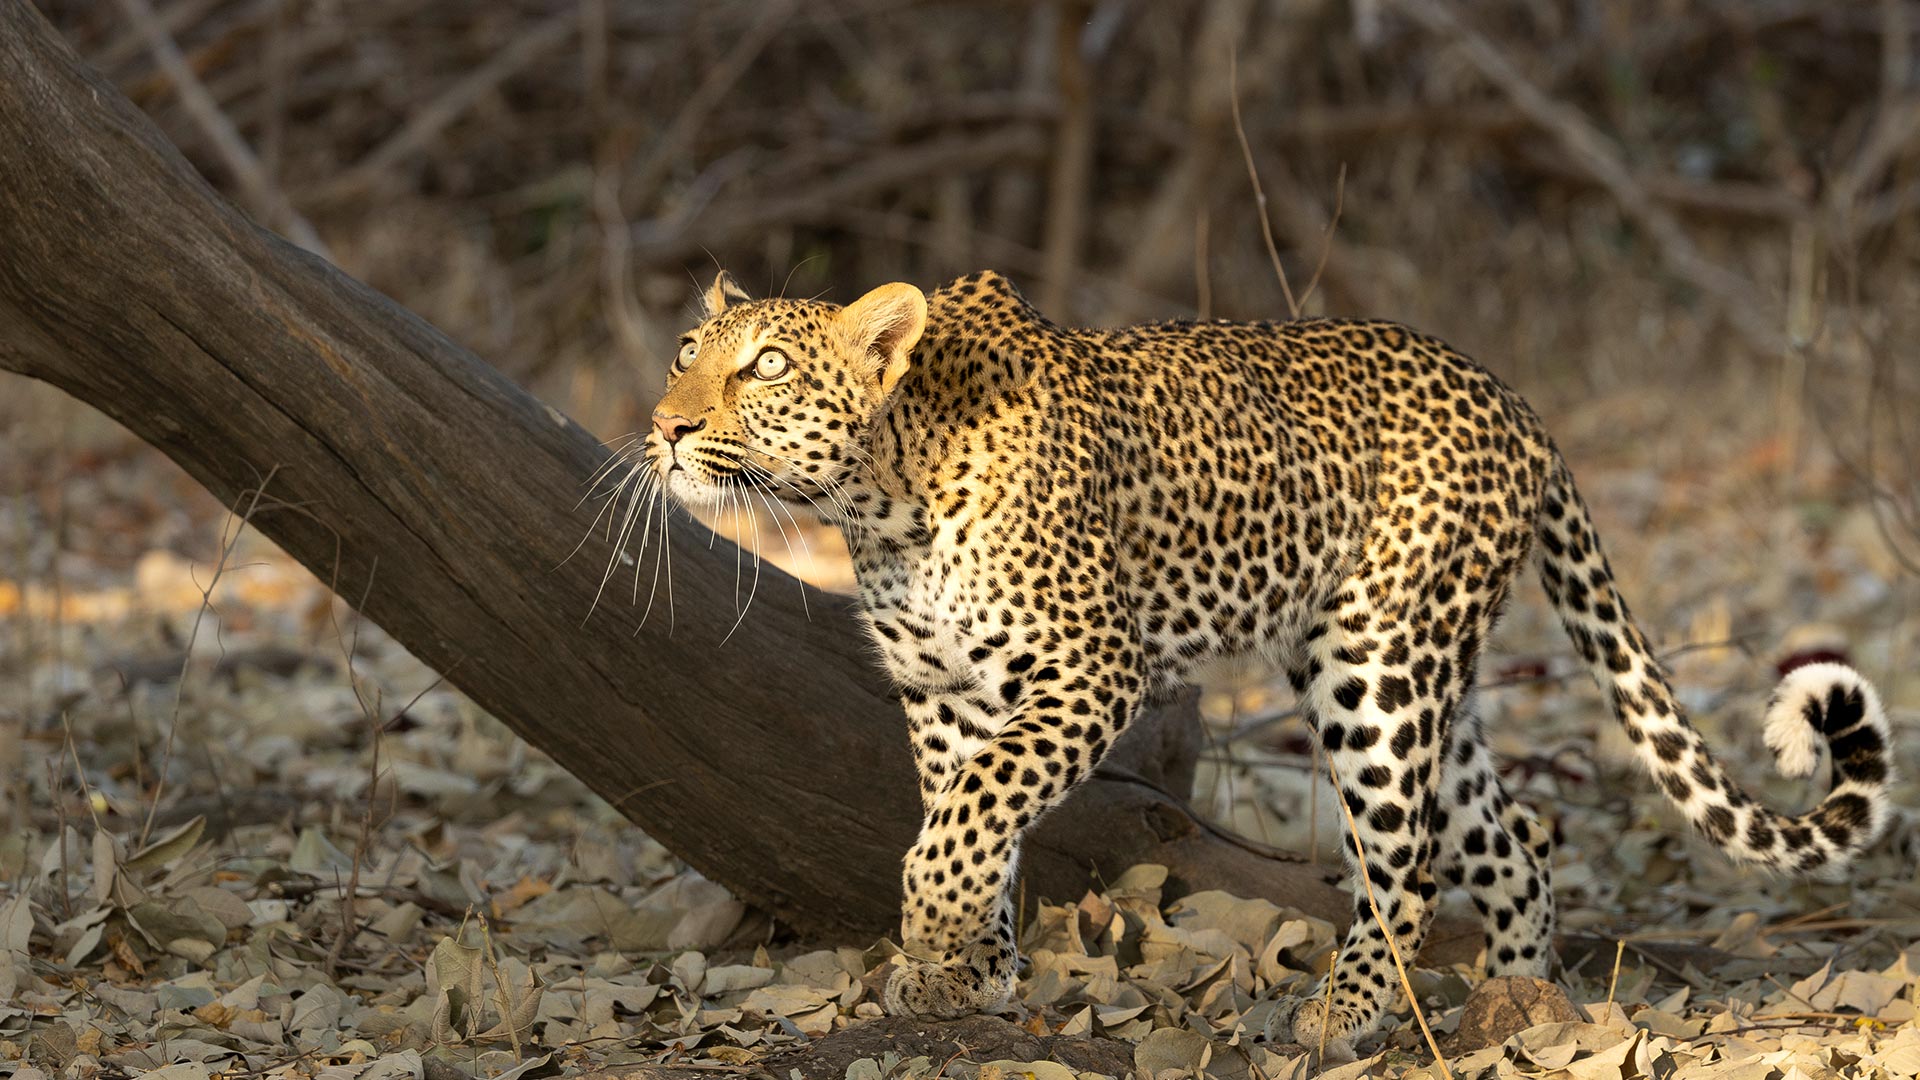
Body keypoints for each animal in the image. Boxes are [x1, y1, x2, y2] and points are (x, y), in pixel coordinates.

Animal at [637, 269, 1896, 1053]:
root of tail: (1517, 402)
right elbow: (968, 816)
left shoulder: (1089, 668)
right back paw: (1521, 1005)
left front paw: (935, 934)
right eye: (684, 358)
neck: (878, 494)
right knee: (1520, 842)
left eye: (764, 370)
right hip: (1414, 674)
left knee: (1409, 860)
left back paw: (1353, 1017)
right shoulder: (942, 693)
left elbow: (965, 821)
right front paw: (966, 969)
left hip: (1376, 669)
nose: (664, 428)